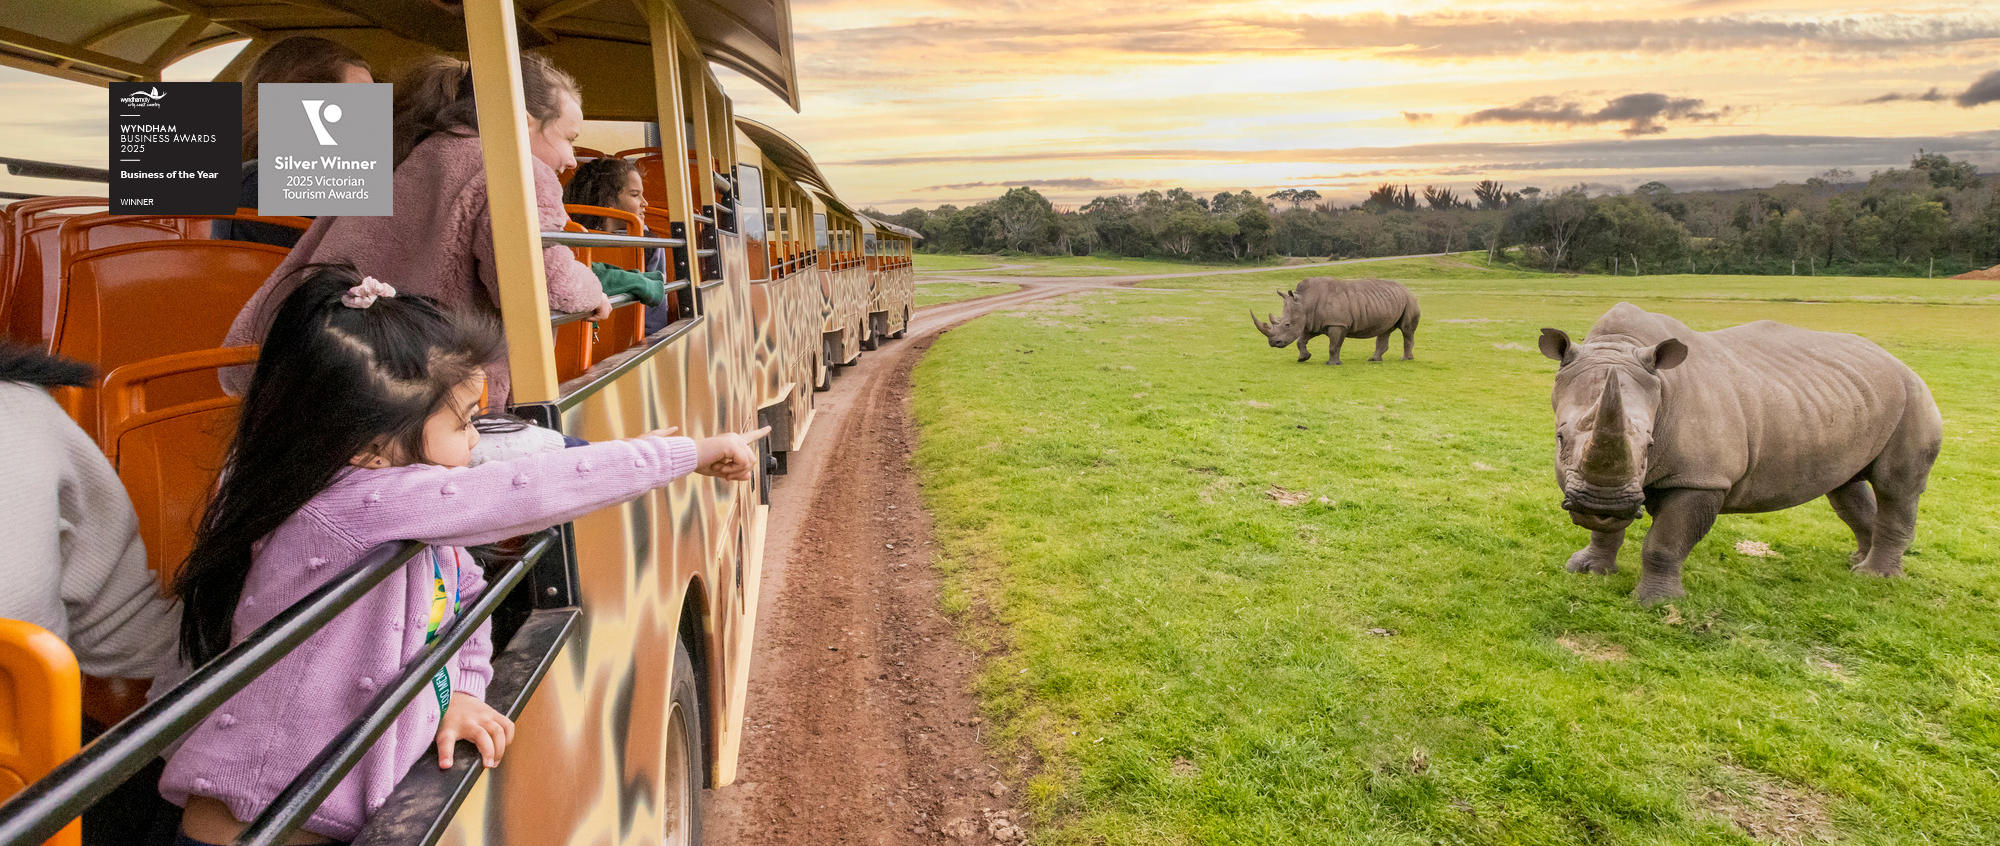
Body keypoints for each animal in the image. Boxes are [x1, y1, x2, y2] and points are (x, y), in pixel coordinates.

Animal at [1250, 277, 1419, 365]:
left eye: (1287, 324)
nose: (1273, 343)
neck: (1305, 302)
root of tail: (1407, 289)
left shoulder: (1338, 323)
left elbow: (1334, 345)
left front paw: (1332, 364)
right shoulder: (1313, 323)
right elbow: (1301, 340)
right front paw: (1303, 358)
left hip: (1410, 300)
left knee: (1407, 330)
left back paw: (1405, 359)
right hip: (1389, 301)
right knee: (1385, 330)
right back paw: (1374, 360)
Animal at [1540, 303, 1942, 603]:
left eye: (1650, 446)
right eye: (1560, 439)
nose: (1601, 505)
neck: (1619, 344)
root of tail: (1899, 363)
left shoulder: (1703, 478)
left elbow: (1665, 543)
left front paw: (1657, 603)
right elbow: (1607, 532)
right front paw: (1589, 569)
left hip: (1914, 396)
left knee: (1896, 489)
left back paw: (1874, 577)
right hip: (1854, 398)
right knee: (1845, 489)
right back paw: (1857, 560)